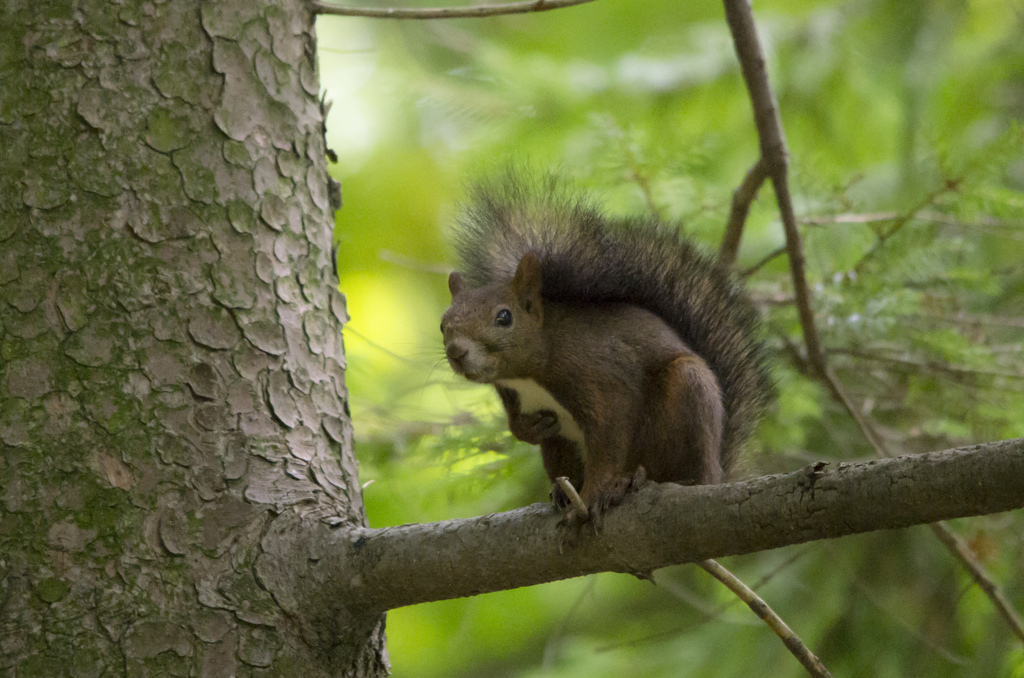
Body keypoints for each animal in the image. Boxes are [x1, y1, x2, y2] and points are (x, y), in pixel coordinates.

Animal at [436, 173, 770, 522]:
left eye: (504, 317)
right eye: (443, 325)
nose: (456, 353)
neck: (529, 374)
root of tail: (717, 471)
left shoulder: (602, 381)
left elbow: (608, 442)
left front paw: (594, 494)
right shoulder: (512, 394)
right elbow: (517, 423)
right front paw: (527, 428)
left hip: (687, 393)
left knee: (674, 472)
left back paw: (632, 481)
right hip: (561, 450)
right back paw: (562, 492)